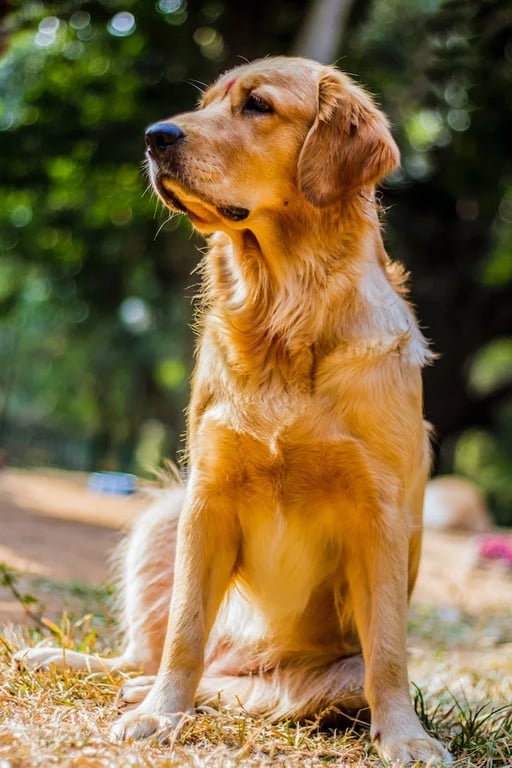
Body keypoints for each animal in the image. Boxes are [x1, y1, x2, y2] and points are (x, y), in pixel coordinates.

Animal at [14, 57, 450, 764]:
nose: (153, 137)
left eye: (258, 106)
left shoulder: (379, 511)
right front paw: (161, 715)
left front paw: (407, 737)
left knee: (248, 687)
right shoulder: (207, 495)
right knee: (154, 655)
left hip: (321, 676)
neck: (284, 310)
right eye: (206, 105)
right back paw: (92, 671)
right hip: (162, 516)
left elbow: (387, 651)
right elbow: (185, 631)